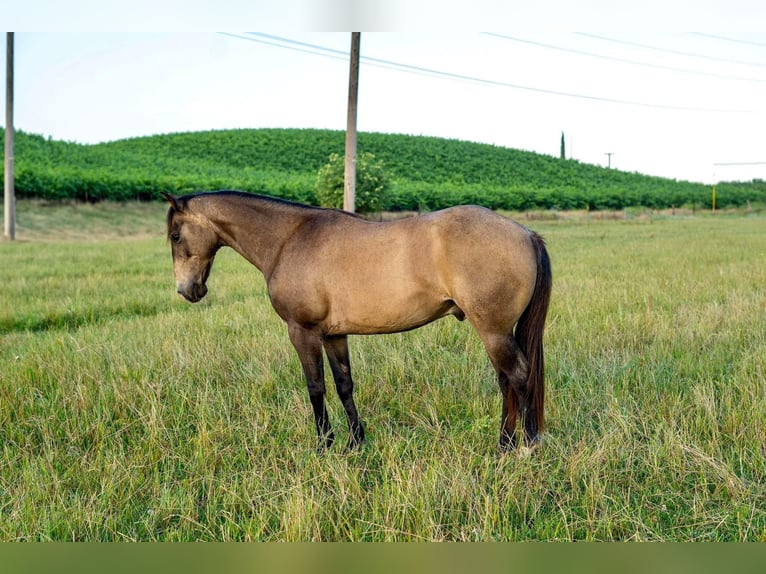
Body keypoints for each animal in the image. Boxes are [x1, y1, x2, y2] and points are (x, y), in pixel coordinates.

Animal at [162, 191, 552, 452]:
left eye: (176, 236)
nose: (186, 290)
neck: (290, 238)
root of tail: (525, 233)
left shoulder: (302, 332)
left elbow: (315, 387)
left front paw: (325, 444)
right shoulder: (334, 335)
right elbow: (344, 385)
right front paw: (355, 442)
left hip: (493, 332)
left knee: (519, 377)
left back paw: (528, 445)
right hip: (496, 333)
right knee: (506, 381)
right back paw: (504, 443)